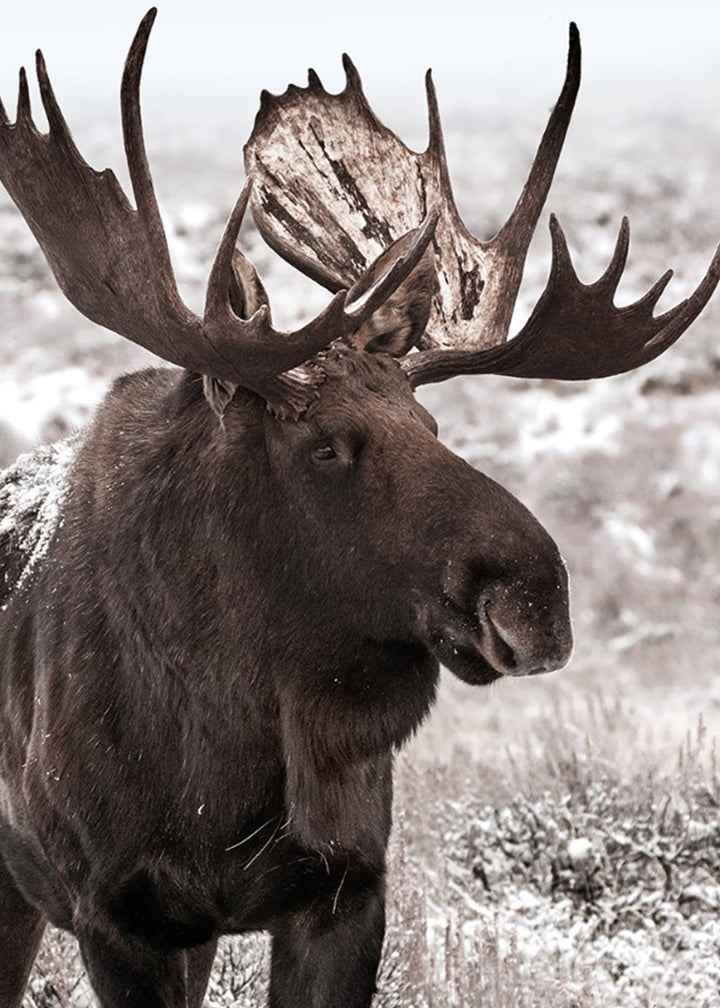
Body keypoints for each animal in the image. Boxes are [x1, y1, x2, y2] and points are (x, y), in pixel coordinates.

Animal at [0, 9, 717, 1008]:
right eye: (325, 446)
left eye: (431, 422)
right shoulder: (117, 909)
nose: (537, 596)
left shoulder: (344, 888)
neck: (227, 759)